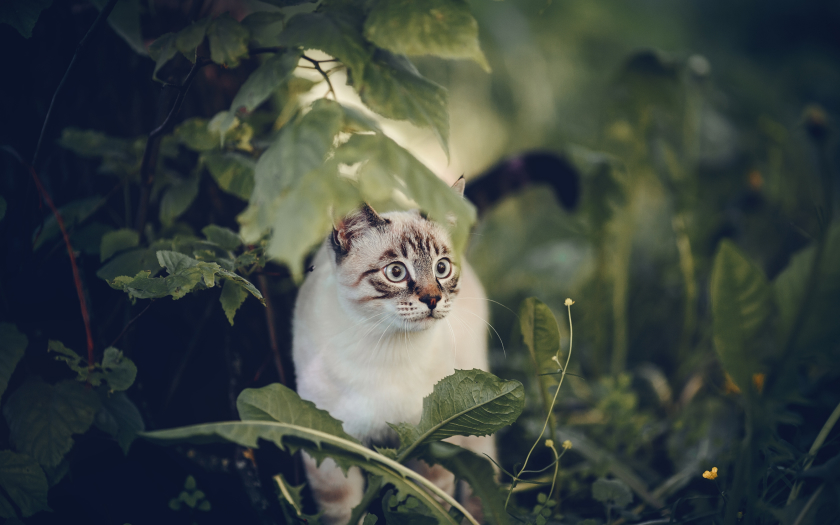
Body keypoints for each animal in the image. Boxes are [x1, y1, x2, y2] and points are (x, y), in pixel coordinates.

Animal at [292, 177, 496, 524]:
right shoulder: (333, 452)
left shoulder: (428, 444)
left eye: (442, 268)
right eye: (396, 272)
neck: (386, 347)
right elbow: (345, 513)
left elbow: (427, 507)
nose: (432, 299)